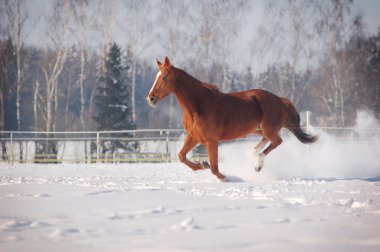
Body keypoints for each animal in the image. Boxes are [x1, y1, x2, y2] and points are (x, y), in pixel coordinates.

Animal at [146, 56, 318, 181]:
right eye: (155, 76)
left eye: (164, 77)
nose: (151, 98)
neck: (198, 107)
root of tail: (280, 100)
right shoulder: (194, 137)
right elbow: (182, 156)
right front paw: (203, 164)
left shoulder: (211, 140)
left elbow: (215, 167)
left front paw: (226, 178)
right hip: (256, 130)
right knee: (266, 141)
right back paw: (252, 153)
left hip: (268, 129)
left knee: (277, 141)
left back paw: (257, 165)